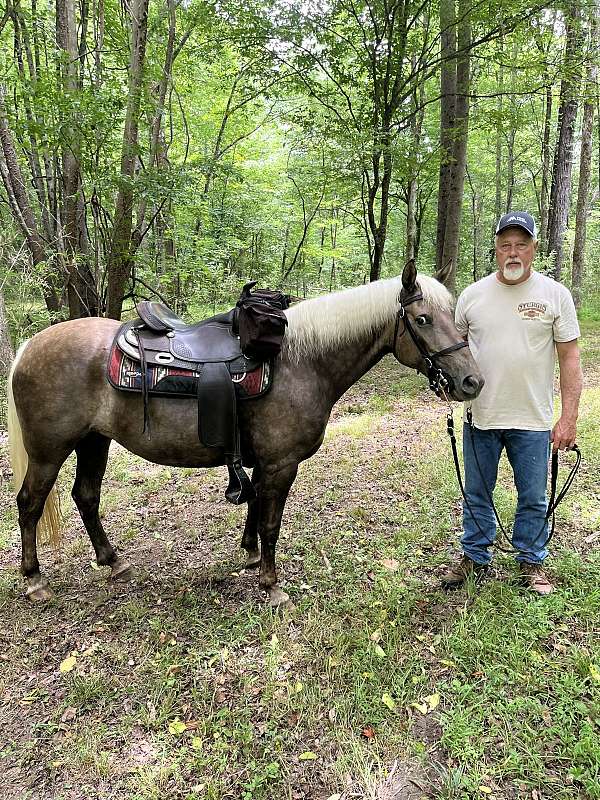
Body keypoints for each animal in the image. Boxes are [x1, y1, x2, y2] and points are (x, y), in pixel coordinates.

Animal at [7, 261, 483, 607]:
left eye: (453, 317)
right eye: (423, 319)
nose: (471, 382)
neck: (299, 362)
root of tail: (30, 346)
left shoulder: (261, 463)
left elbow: (253, 506)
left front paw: (251, 555)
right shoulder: (281, 464)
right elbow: (272, 521)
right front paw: (272, 585)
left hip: (93, 441)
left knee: (86, 497)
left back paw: (113, 563)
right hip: (50, 450)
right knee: (30, 503)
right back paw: (35, 581)